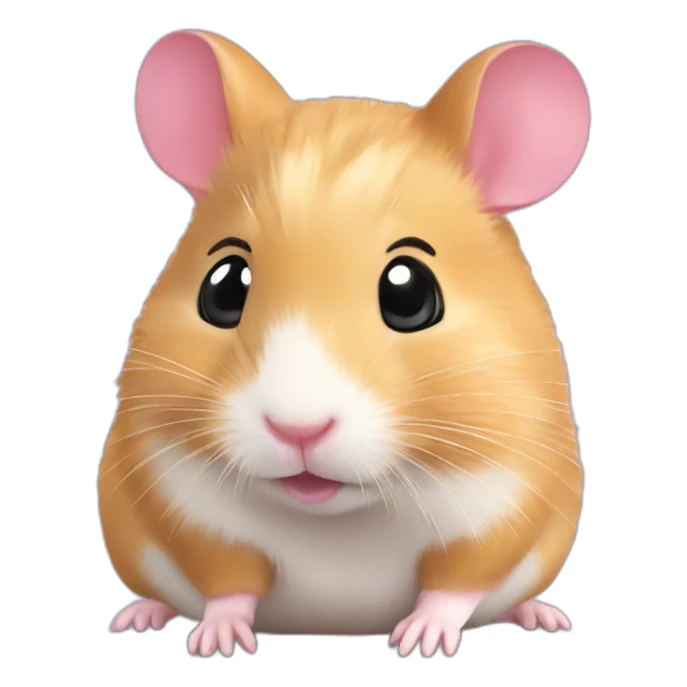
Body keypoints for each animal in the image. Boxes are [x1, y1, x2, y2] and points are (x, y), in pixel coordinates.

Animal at [99, 30, 589, 658]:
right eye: (223, 287)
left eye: (410, 294)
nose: (297, 429)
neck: (342, 515)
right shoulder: (187, 505)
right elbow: (228, 580)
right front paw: (218, 643)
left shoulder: (506, 500)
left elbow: (457, 582)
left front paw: (420, 643)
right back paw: (138, 616)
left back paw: (542, 616)